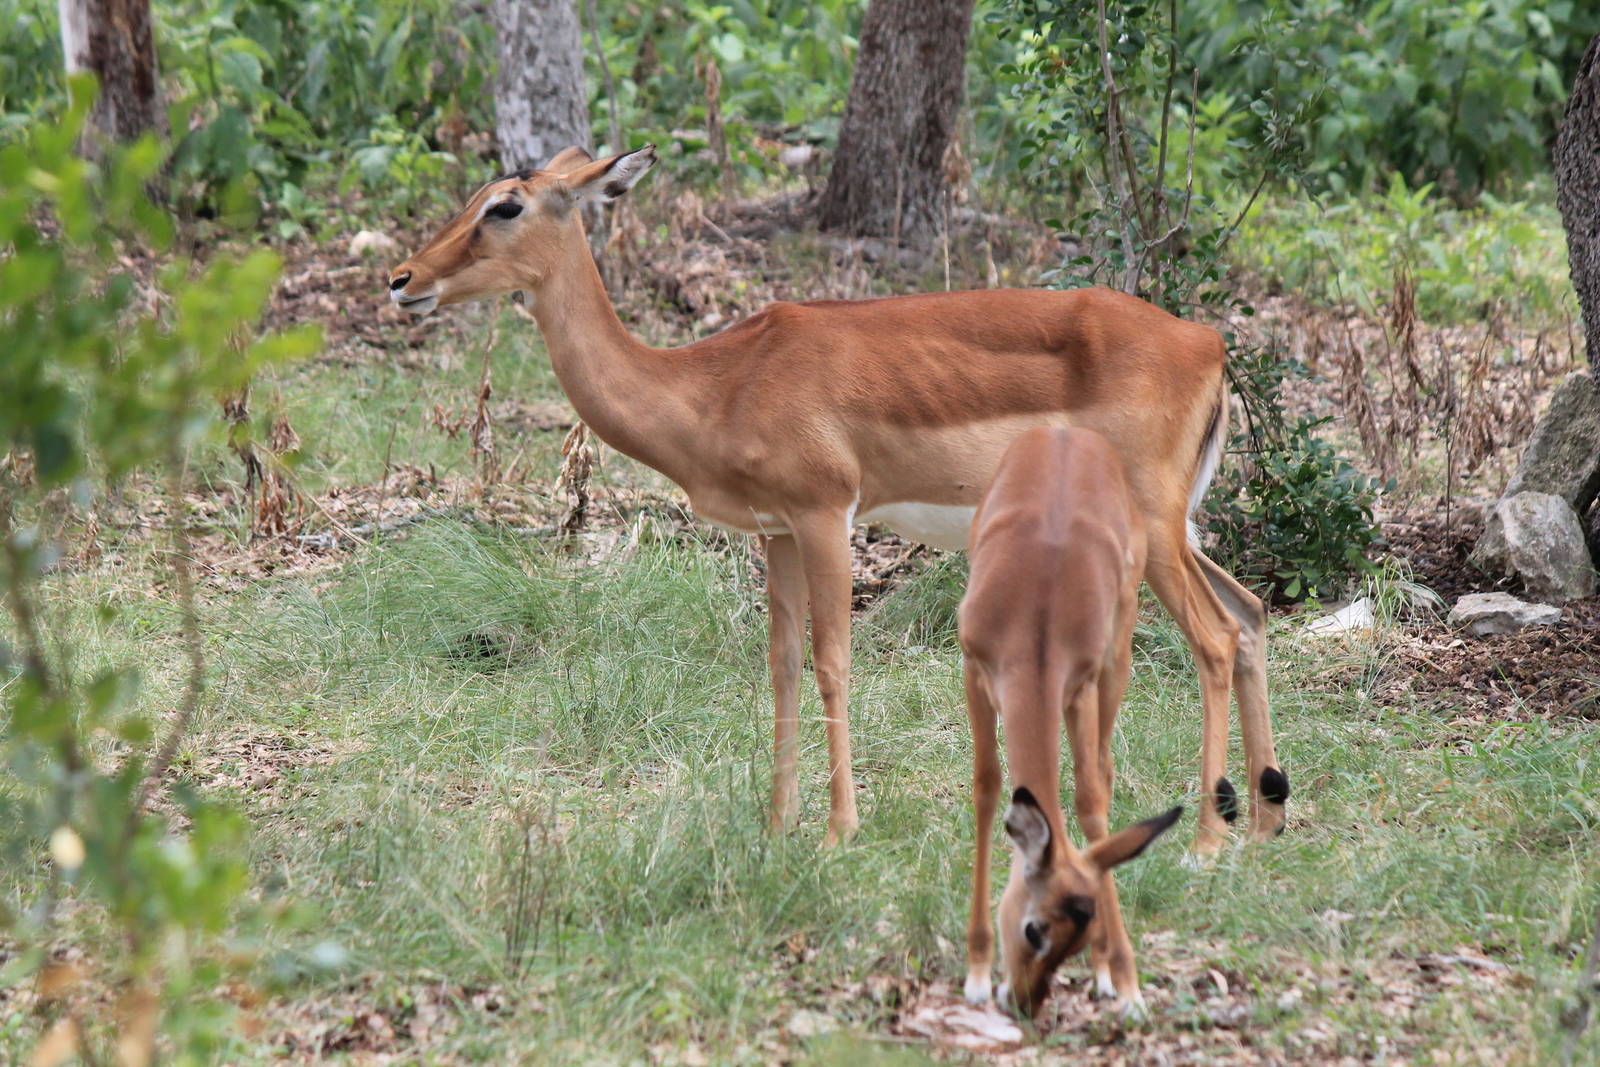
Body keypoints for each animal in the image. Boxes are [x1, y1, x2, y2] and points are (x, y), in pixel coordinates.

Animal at [387, 145, 1290, 849]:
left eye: (505, 204)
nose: (402, 280)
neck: (718, 383)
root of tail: (1209, 344)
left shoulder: (827, 516)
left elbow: (833, 662)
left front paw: (838, 828)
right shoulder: (777, 532)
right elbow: (782, 664)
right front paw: (778, 822)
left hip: (1152, 527)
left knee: (1214, 640)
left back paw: (1208, 836)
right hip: (1180, 529)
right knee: (1248, 616)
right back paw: (1265, 819)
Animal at [959, 426, 1181, 1021]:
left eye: (1076, 937)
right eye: (1034, 928)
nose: (1024, 1004)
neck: (1033, 617)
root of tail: (1064, 431)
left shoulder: (1079, 686)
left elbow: (1089, 800)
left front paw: (1123, 982)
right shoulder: (974, 670)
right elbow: (987, 787)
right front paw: (976, 973)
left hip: (1116, 656)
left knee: (1100, 772)